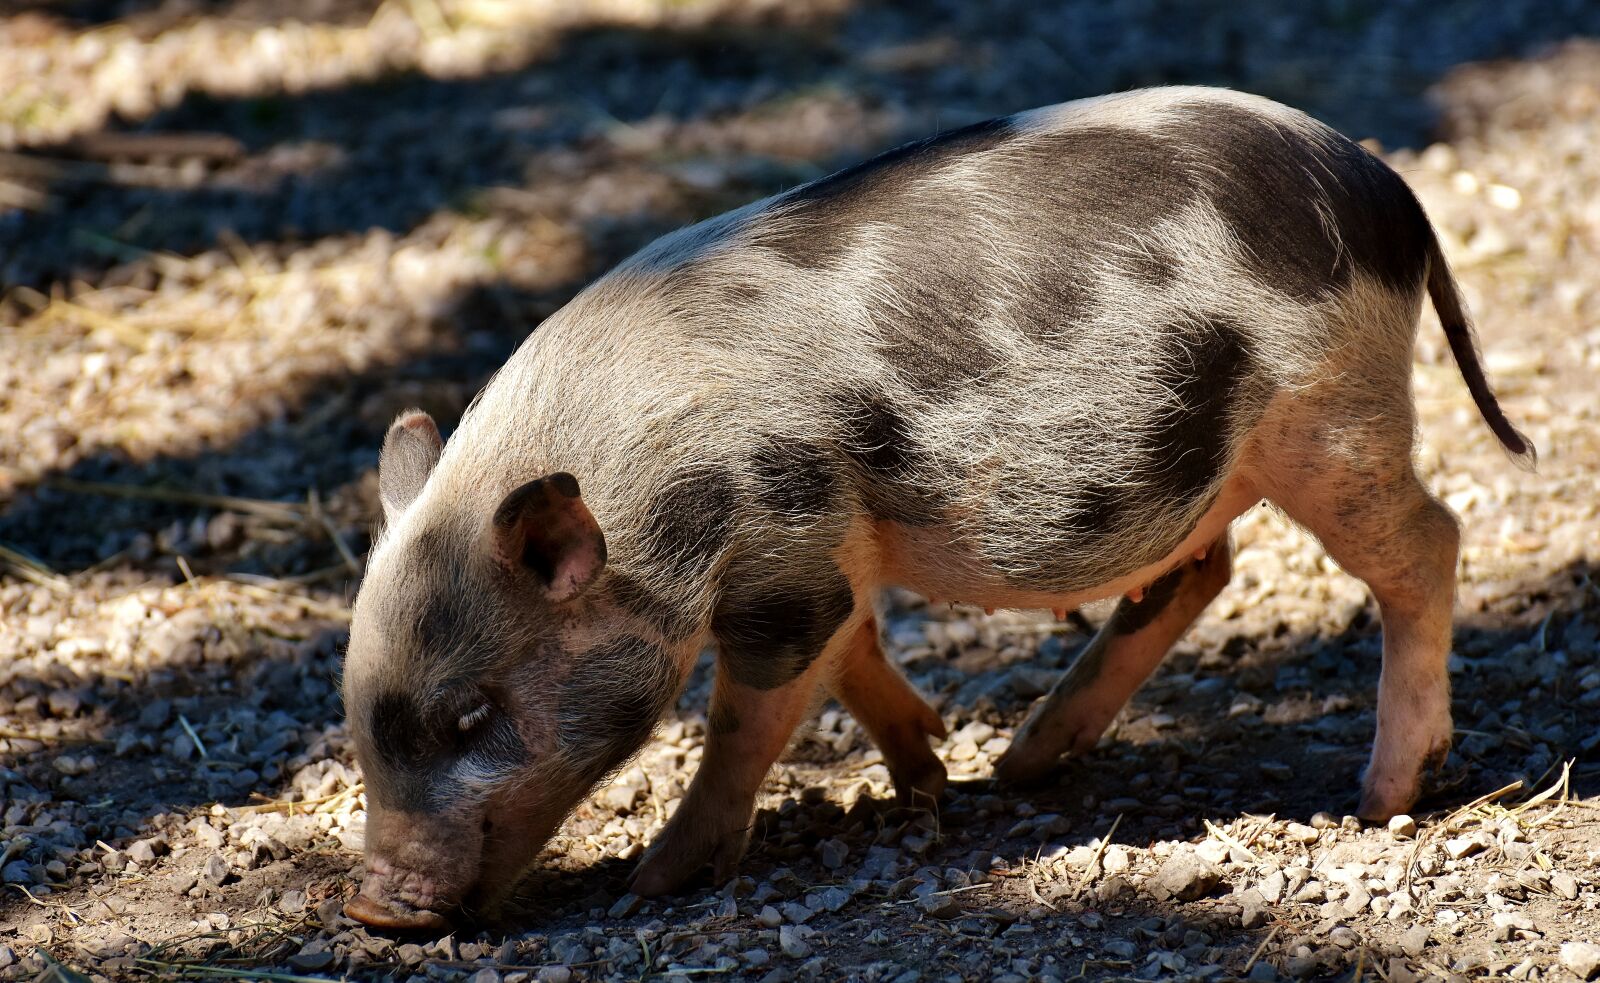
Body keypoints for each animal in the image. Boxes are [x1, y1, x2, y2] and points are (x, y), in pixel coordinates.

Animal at [341, 85, 1533, 930]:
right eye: (358, 713)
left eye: (470, 715)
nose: (371, 905)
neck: (650, 492)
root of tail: (1386, 190)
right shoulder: (831, 550)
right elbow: (856, 654)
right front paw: (928, 775)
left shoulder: (785, 555)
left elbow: (748, 717)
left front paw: (656, 881)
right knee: (1201, 567)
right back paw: (1026, 762)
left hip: (1330, 414)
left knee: (1428, 542)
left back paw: (1380, 796)